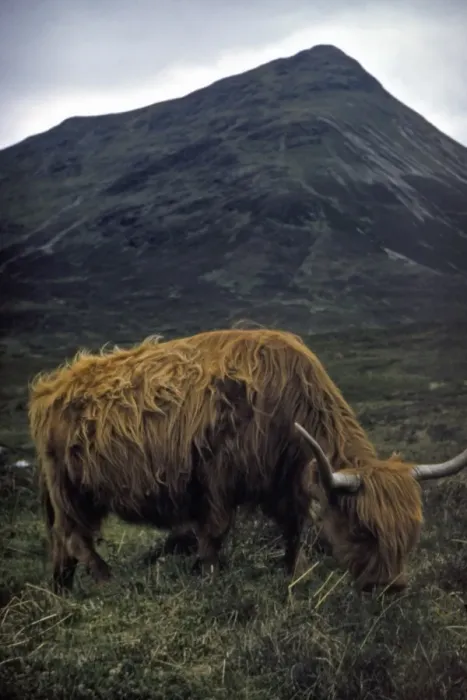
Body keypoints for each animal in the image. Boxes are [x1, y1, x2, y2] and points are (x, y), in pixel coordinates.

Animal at [28, 327, 467, 595]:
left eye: (410, 533)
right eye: (363, 530)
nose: (391, 588)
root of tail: (51, 387)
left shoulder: (285, 485)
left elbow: (294, 531)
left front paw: (292, 574)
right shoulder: (217, 478)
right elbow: (215, 533)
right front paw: (209, 577)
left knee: (62, 543)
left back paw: (64, 590)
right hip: (70, 488)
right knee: (74, 536)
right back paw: (107, 580)